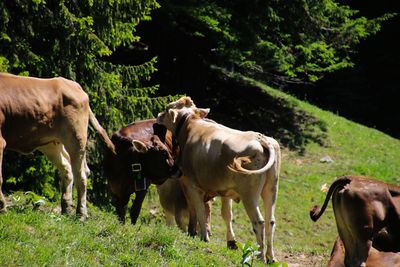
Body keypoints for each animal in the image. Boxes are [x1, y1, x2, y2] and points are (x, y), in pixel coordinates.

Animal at [0, 72, 115, 219]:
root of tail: (73, 84)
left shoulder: (0, 141)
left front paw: (2, 208)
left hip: (76, 138)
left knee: (82, 174)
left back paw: (81, 214)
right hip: (51, 142)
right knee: (67, 167)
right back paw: (66, 208)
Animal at [156, 102, 282, 264]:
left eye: (166, 109)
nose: (158, 115)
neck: (190, 126)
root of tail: (261, 139)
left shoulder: (190, 184)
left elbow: (198, 209)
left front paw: (201, 235)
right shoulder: (225, 191)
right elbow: (226, 214)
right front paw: (230, 242)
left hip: (249, 194)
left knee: (259, 222)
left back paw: (260, 256)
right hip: (271, 189)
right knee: (270, 221)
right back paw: (270, 257)